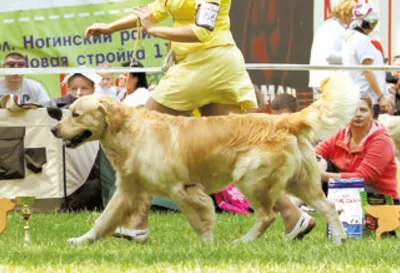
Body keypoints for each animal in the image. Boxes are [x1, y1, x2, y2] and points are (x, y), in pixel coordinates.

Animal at [50, 71, 360, 242]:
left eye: (76, 114)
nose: (53, 129)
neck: (130, 131)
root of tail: (283, 120)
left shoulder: (184, 189)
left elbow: (200, 220)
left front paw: (207, 245)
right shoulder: (128, 189)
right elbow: (103, 220)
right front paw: (81, 240)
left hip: (251, 179)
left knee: (267, 215)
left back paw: (244, 242)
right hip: (301, 181)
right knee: (329, 206)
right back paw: (338, 240)